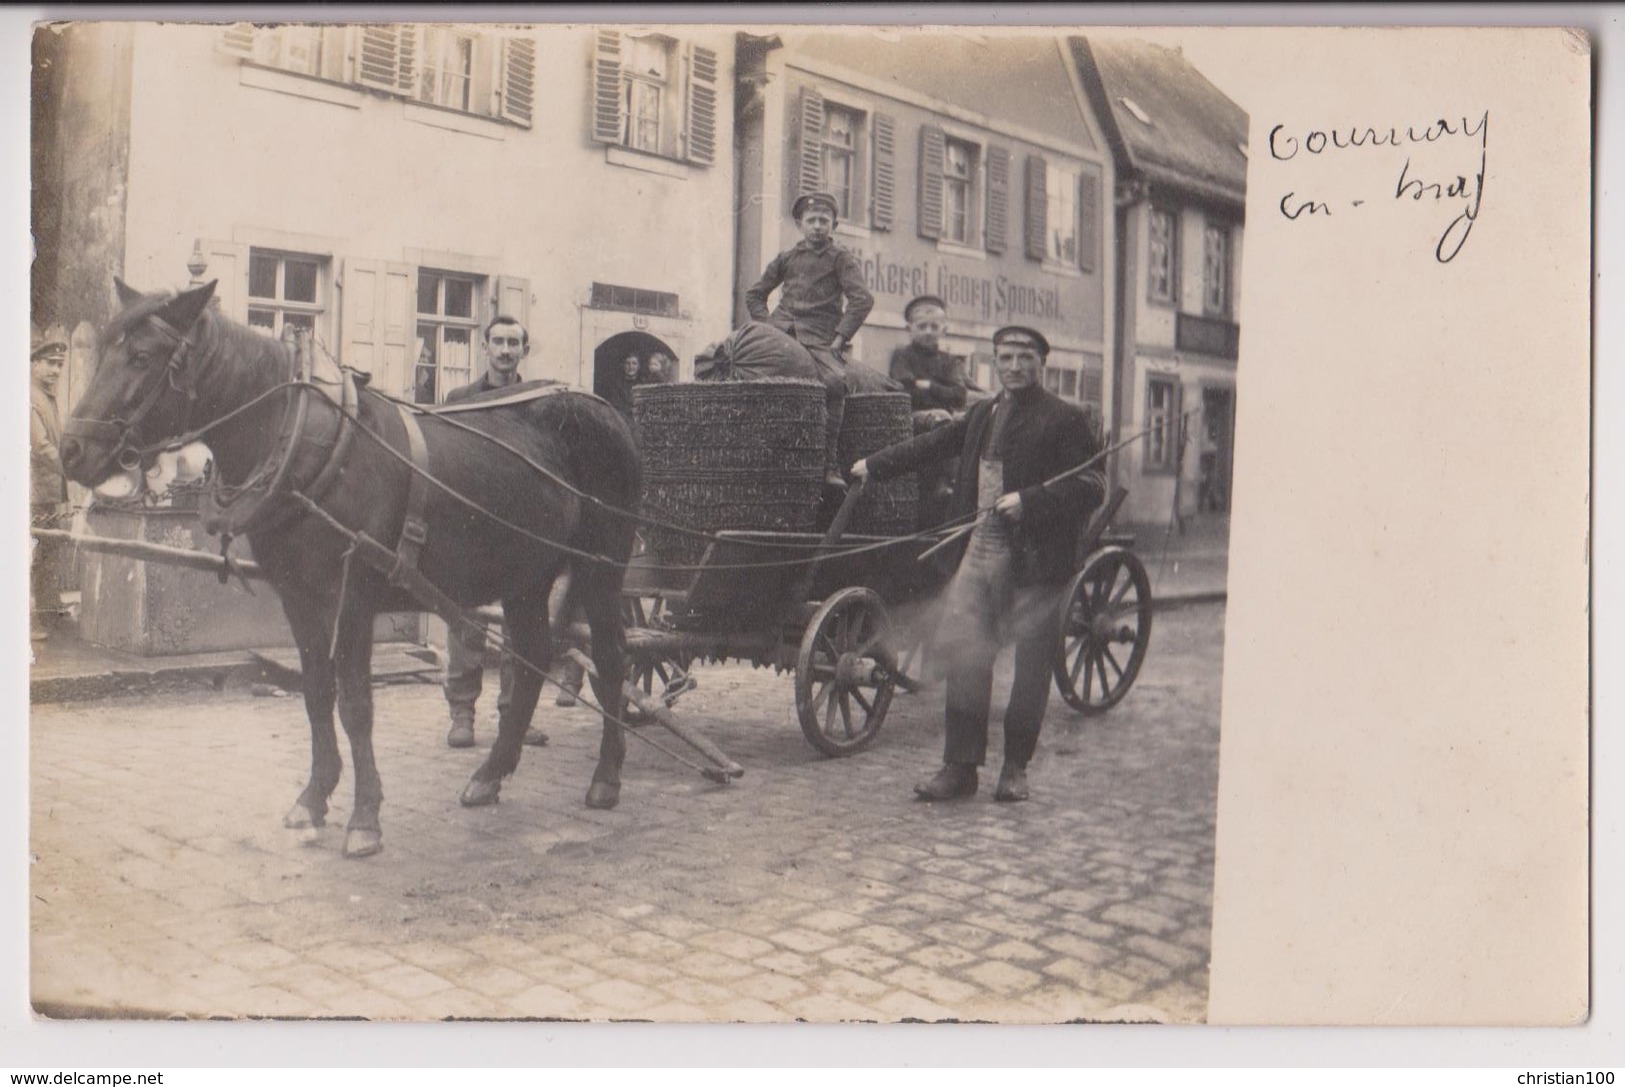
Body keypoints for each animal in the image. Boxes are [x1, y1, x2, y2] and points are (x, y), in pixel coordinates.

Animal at [63, 279, 646, 857]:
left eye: (142, 357)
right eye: (105, 350)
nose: (71, 451)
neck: (310, 443)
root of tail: (606, 410)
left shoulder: (356, 593)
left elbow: (356, 704)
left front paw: (365, 817)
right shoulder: (297, 595)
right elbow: (317, 693)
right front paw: (314, 797)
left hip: (602, 568)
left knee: (612, 659)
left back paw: (606, 777)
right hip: (527, 576)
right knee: (531, 659)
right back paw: (490, 774)